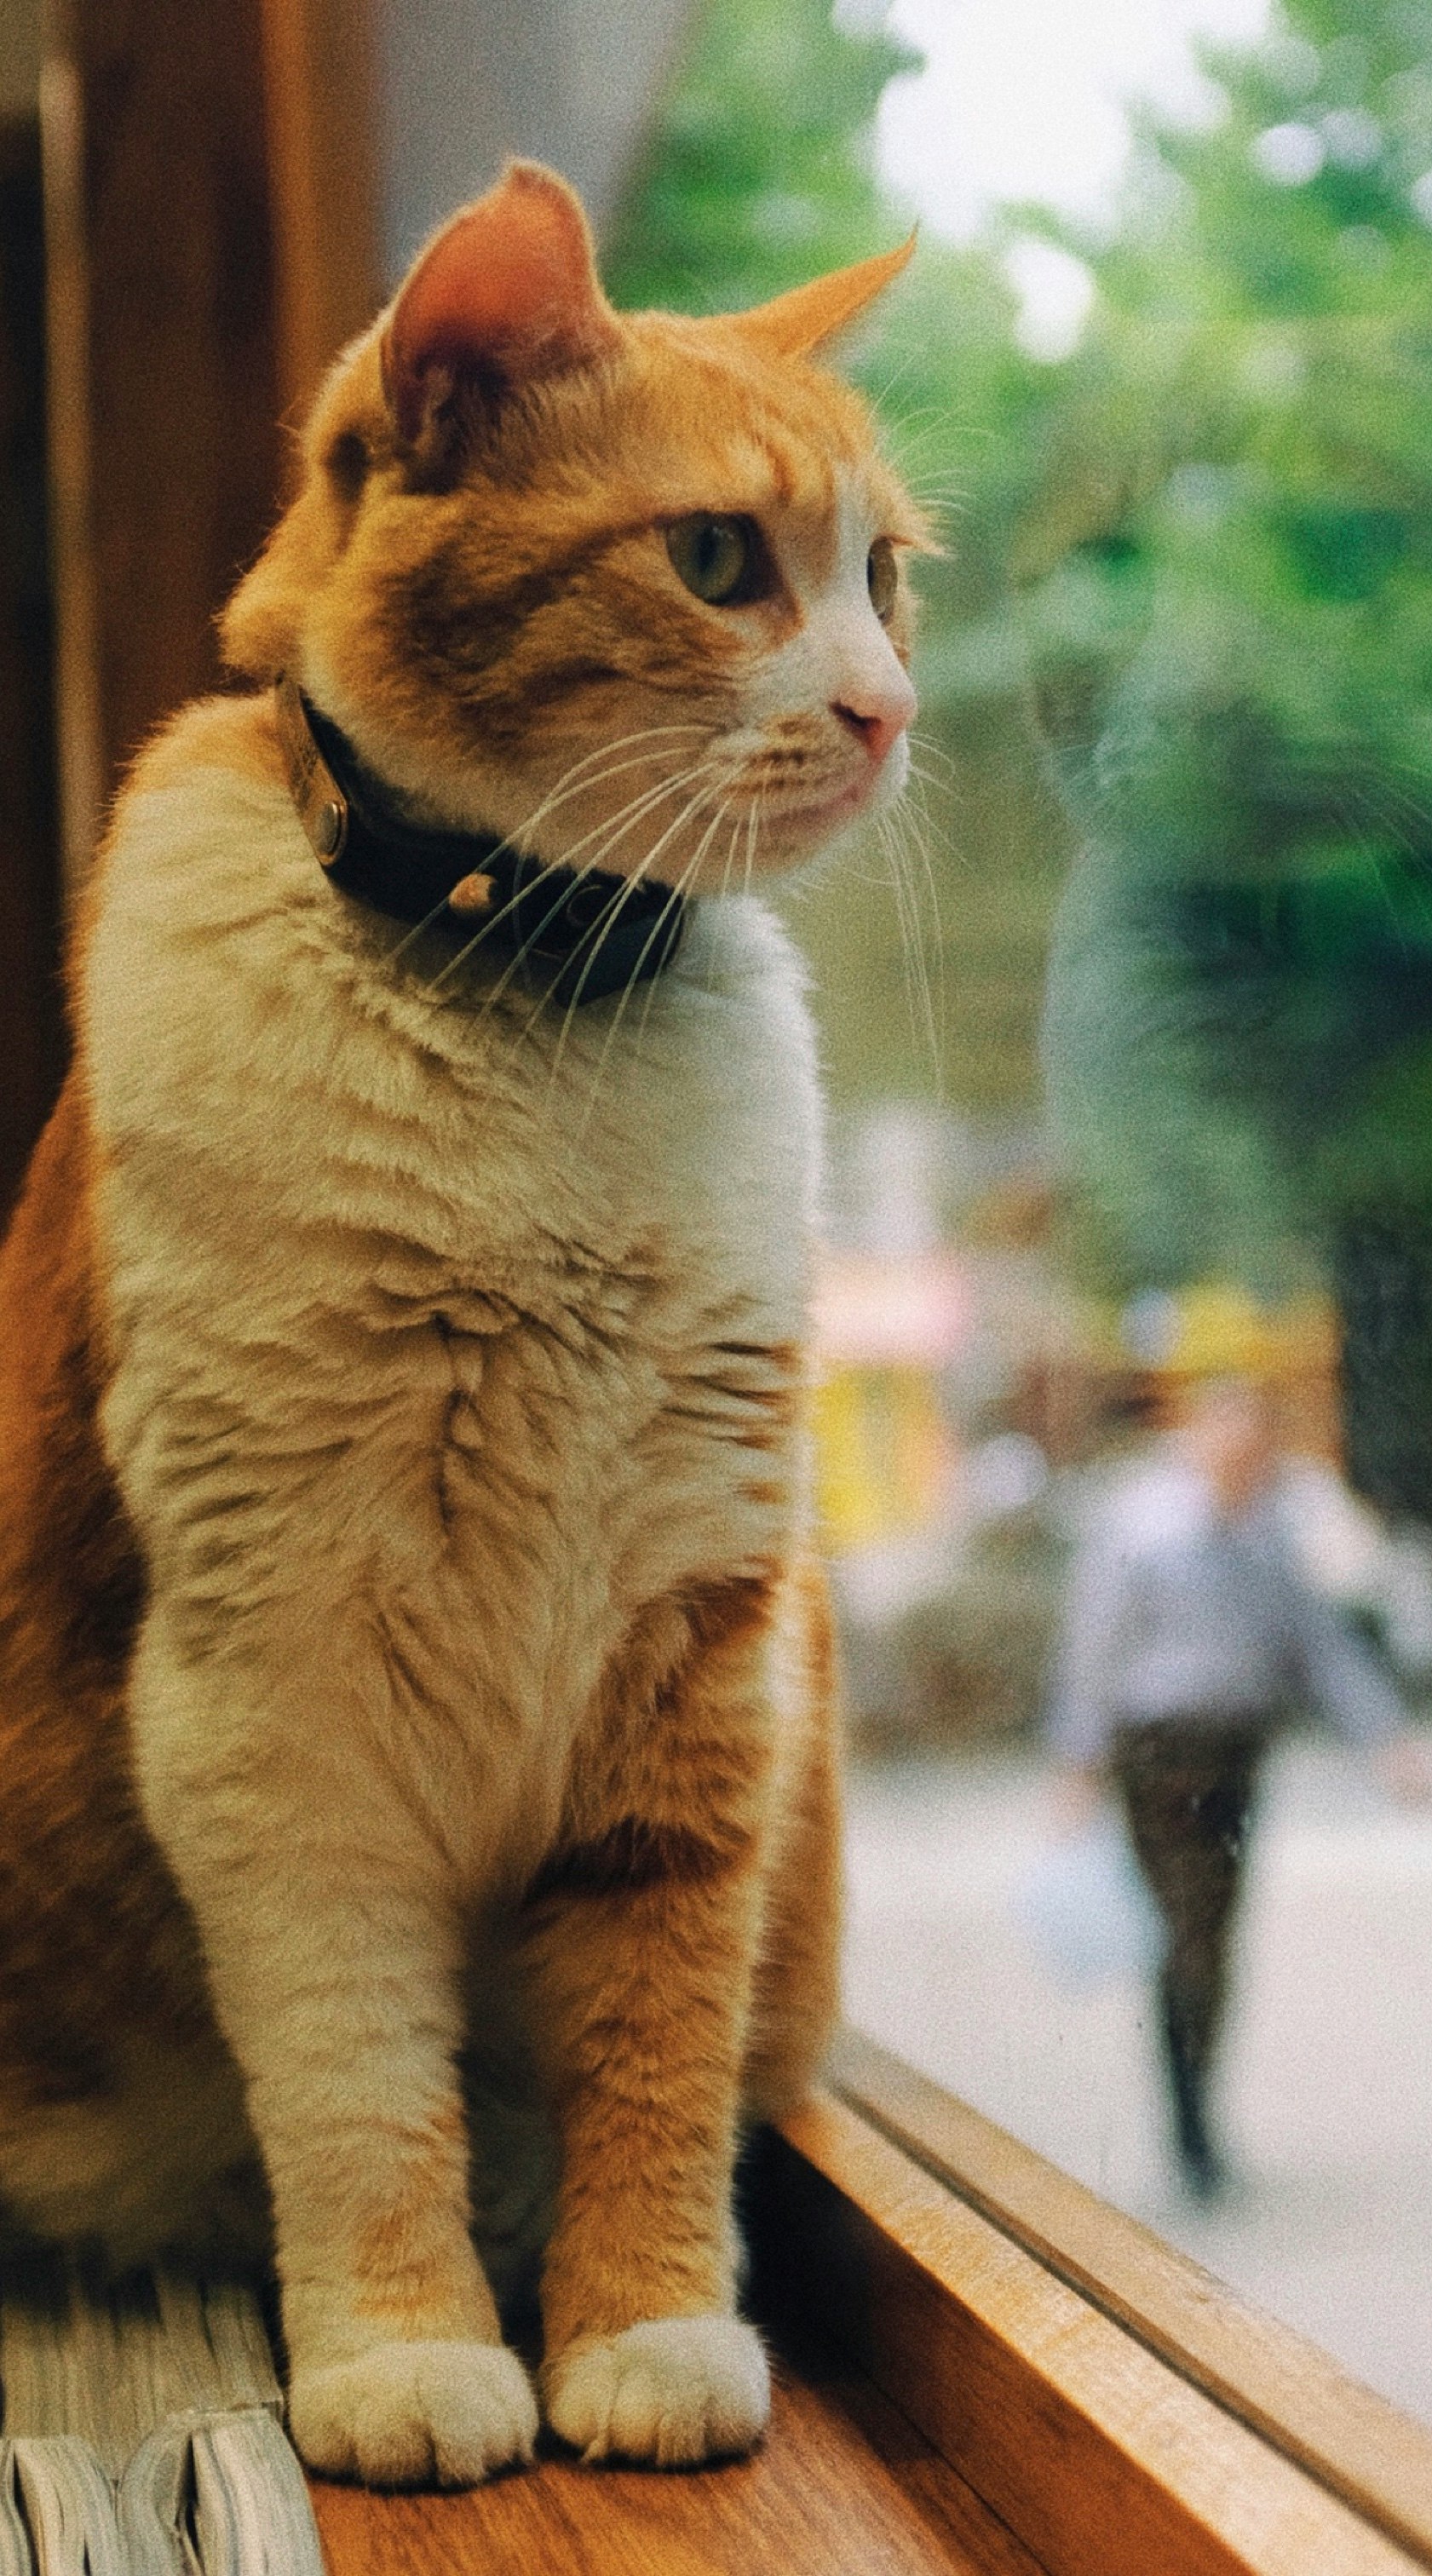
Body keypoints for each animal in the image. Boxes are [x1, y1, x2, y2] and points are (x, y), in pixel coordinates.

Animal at [0, 166, 922, 2493]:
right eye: (719, 562)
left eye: (883, 577)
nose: (889, 709)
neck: (532, 1026)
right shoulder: (273, 1707)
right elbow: (352, 2088)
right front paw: (408, 2352)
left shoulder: (703, 1655)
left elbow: (657, 2043)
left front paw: (644, 2327)